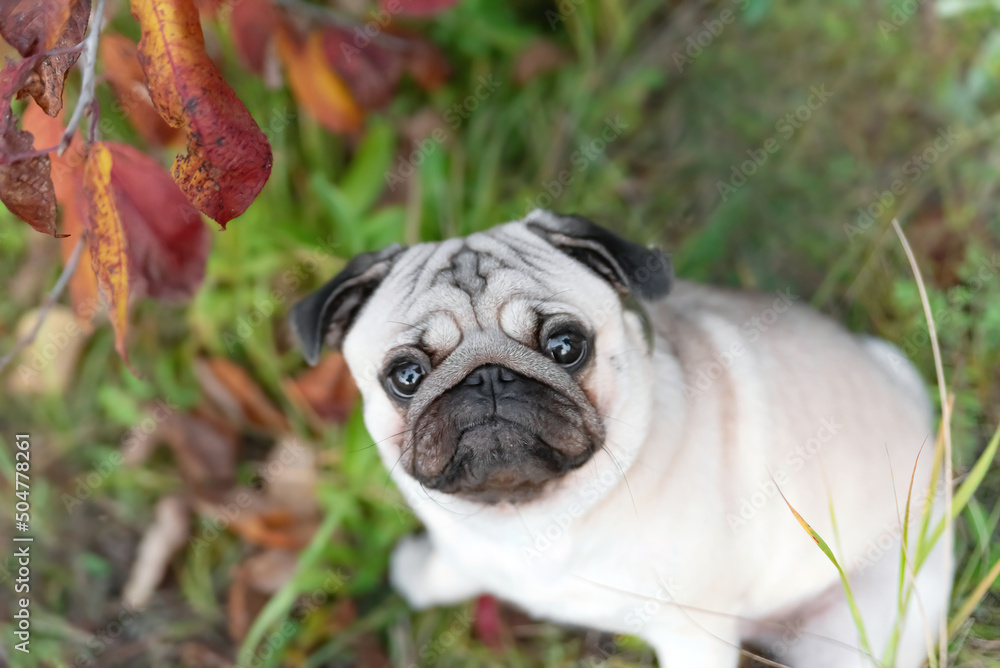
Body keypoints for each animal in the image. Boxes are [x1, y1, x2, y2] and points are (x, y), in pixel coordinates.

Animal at [288, 210, 944, 668]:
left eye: (565, 347)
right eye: (405, 377)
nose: (487, 379)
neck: (529, 518)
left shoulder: (692, 635)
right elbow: (450, 571)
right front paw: (420, 576)